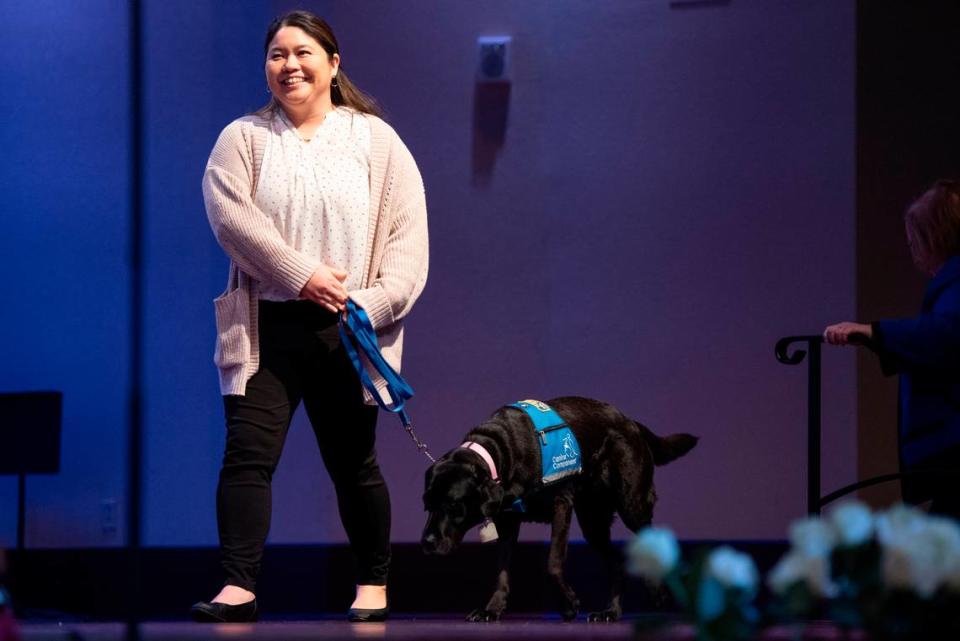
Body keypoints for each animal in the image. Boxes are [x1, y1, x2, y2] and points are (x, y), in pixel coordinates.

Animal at [420, 396, 696, 620]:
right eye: (426, 505)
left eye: (455, 505)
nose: (427, 543)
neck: (497, 450)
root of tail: (629, 421)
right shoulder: (507, 521)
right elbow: (502, 569)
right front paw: (492, 608)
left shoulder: (561, 505)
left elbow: (552, 562)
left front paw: (570, 604)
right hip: (593, 522)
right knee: (617, 561)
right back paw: (611, 611)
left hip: (632, 505)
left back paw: (658, 593)